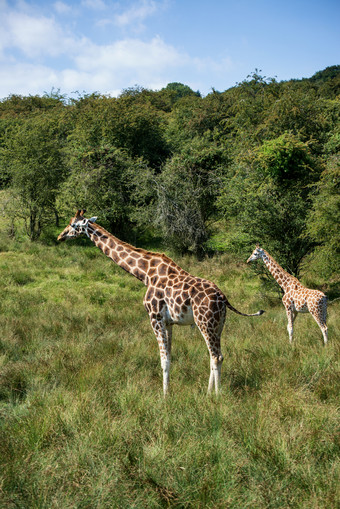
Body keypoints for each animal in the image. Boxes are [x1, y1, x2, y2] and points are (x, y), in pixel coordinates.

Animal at [57, 208, 266, 394]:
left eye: (73, 224)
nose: (60, 236)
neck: (145, 274)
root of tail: (223, 298)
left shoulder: (155, 317)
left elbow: (163, 360)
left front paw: (164, 397)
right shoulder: (169, 322)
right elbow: (170, 358)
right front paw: (168, 391)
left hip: (205, 322)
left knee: (217, 356)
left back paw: (217, 395)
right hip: (219, 324)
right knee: (213, 355)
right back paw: (207, 393)